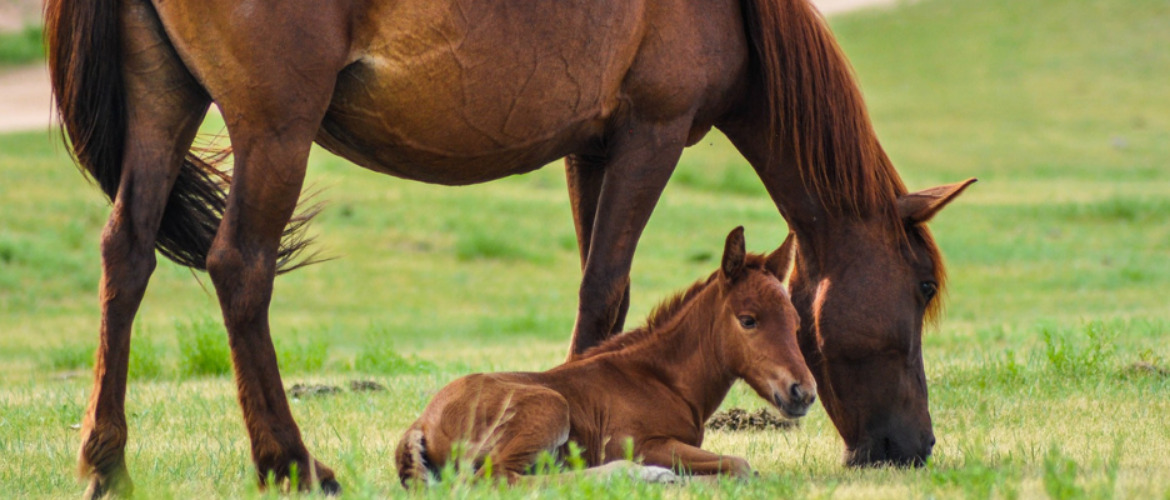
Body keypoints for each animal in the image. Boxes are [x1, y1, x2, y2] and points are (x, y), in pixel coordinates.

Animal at [393, 229, 814, 487]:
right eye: (748, 320)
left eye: (795, 322)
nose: (803, 393)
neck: (661, 379)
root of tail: (421, 423)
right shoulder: (639, 442)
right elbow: (740, 465)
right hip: (549, 408)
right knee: (500, 480)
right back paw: (636, 474)